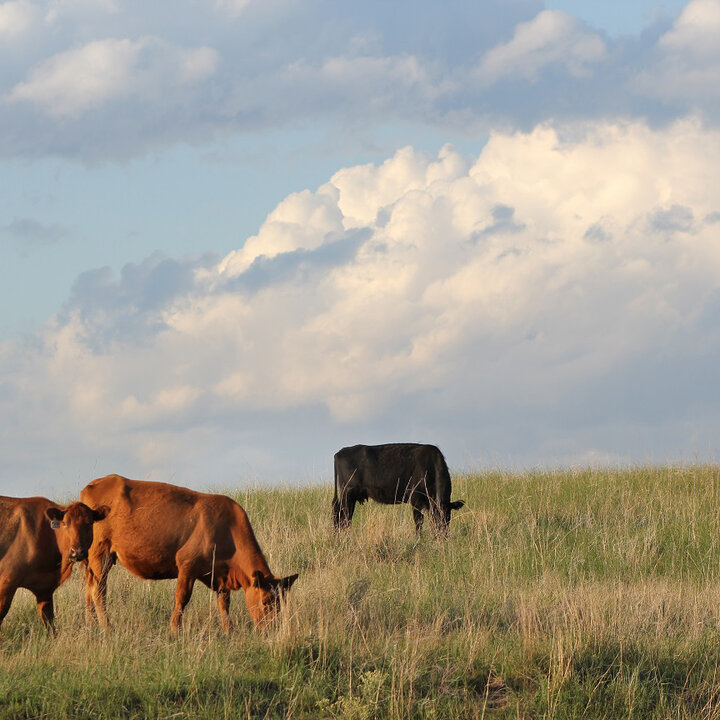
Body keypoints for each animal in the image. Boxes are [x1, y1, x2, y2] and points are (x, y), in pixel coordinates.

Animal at [0, 496, 108, 632]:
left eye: (89, 523)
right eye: (65, 523)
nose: (77, 551)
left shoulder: (44, 588)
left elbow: (49, 622)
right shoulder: (6, 581)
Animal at [80, 474, 299, 634]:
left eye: (281, 603)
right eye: (266, 601)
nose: (273, 629)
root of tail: (96, 483)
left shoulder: (220, 573)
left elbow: (224, 603)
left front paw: (229, 631)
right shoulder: (187, 565)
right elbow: (182, 599)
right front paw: (174, 631)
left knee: (89, 589)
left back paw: (91, 625)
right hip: (101, 553)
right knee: (99, 591)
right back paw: (107, 627)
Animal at [332, 443, 464, 533]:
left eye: (448, 517)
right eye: (435, 516)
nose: (442, 534)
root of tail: (339, 453)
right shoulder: (415, 499)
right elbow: (418, 521)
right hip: (347, 494)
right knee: (343, 518)